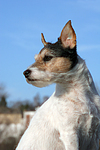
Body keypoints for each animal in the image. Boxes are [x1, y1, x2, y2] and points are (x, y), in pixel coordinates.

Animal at [16, 20, 100, 149]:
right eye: (36, 58)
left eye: (47, 57)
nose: (25, 73)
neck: (80, 95)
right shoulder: (69, 133)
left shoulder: (94, 136)